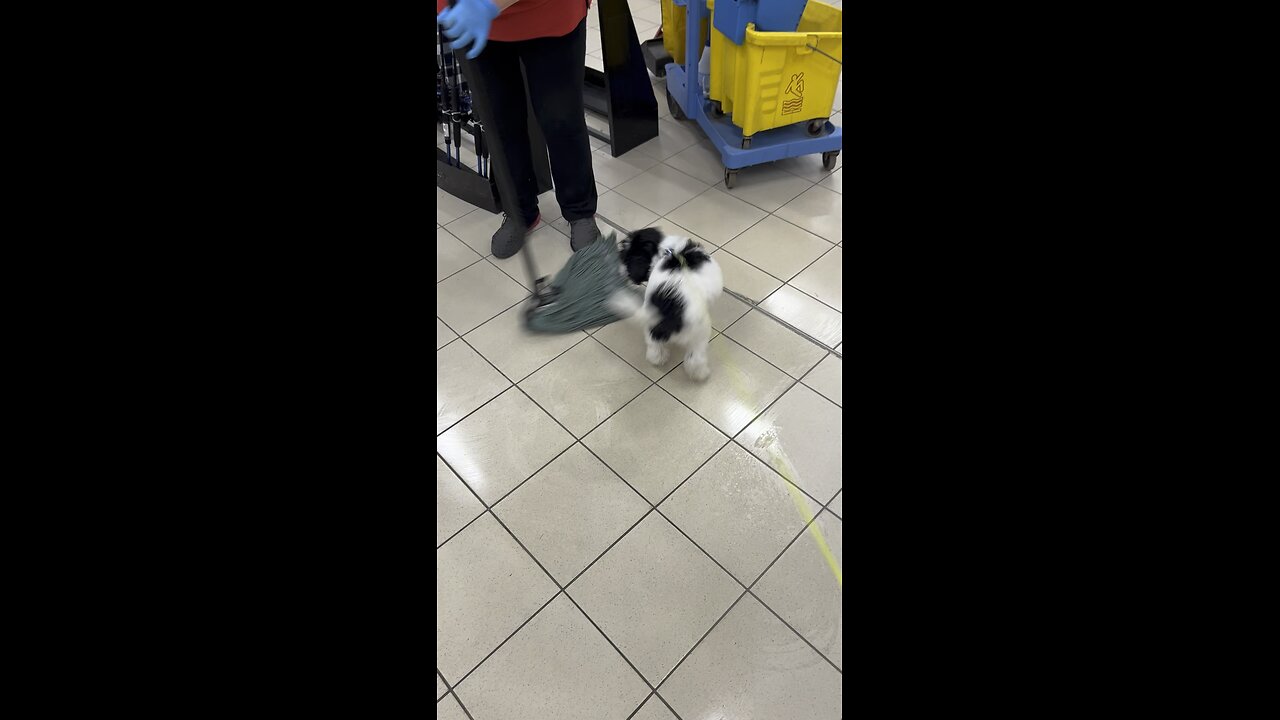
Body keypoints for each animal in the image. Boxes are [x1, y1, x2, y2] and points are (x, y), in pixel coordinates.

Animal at [614, 228, 727, 381]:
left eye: (626, 257)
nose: (621, 270)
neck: (666, 250)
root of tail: (670, 312)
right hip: (700, 334)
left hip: (657, 328)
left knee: (660, 349)